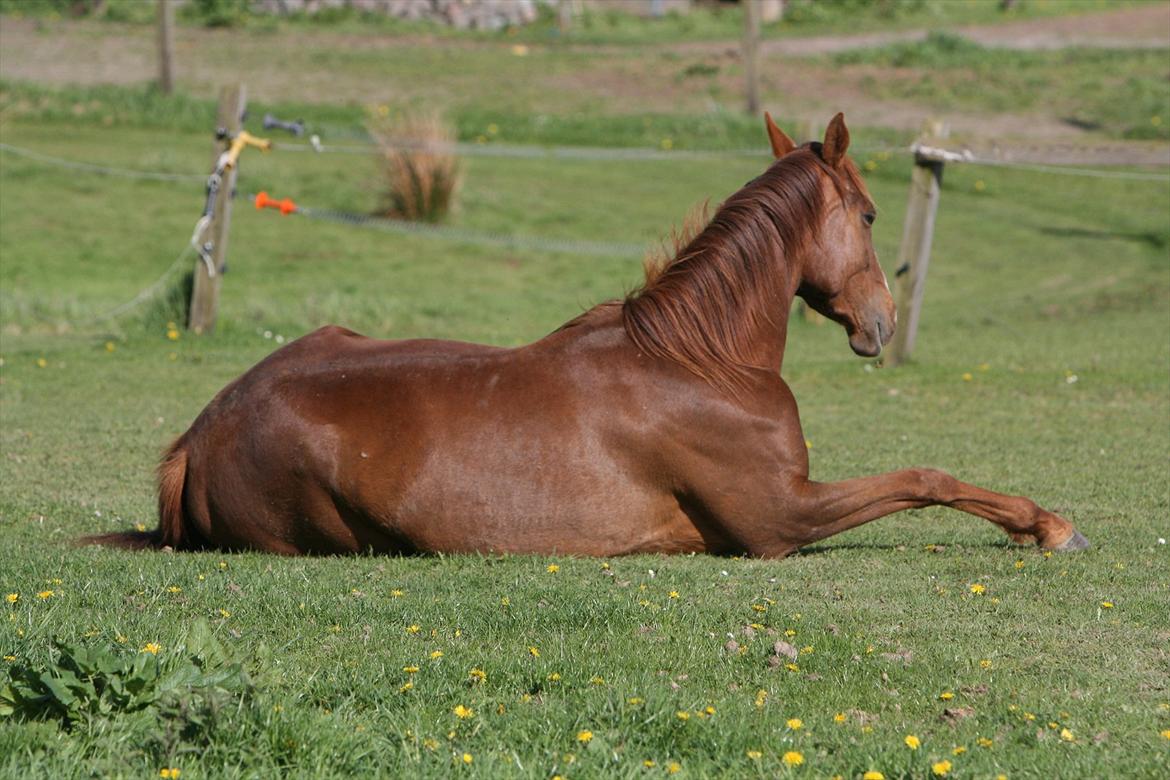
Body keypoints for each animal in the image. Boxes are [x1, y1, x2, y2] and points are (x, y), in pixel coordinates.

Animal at [84, 112, 1085, 558]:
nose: (880, 324)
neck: (699, 363)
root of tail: (198, 435)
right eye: (871, 215)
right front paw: (1048, 524)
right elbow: (925, 478)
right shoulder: (779, 522)